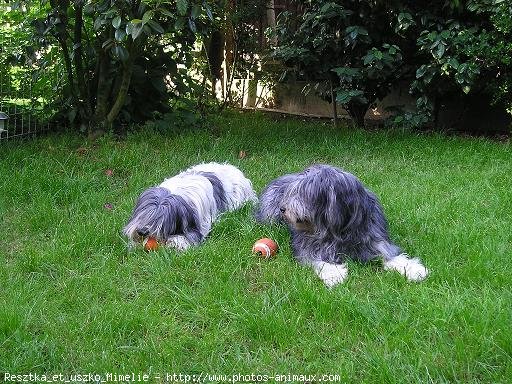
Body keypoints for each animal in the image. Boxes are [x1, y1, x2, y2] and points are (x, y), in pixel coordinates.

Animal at [256, 164, 428, 286]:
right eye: (293, 192)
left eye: (303, 193)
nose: (283, 208)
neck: (341, 231)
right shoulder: (308, 246)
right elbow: (318, 259)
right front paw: (334, 274)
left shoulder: (375, 238)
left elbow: (391, 255)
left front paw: (413, 269)